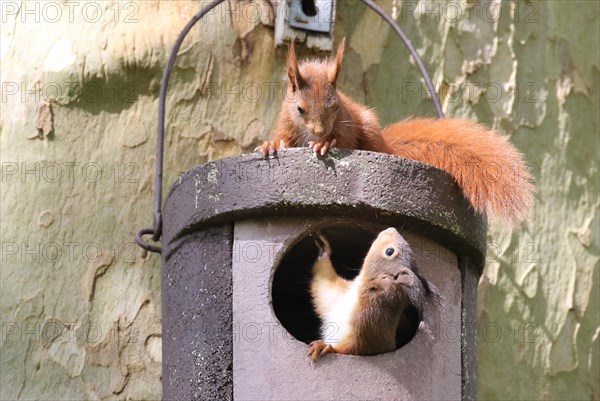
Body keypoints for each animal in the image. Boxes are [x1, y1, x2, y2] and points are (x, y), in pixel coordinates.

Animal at [256, 39, 536, 225]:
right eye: (300, 109)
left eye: (335, 106)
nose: (320, 130)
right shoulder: (287, 123)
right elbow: (283, 138)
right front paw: (270, 145)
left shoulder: (347, 122)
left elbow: (343, 138)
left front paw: (325, 143)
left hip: (369, 128)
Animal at [308, 227, 438, 360]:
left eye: (389, 251)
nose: (391, 229)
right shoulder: (338, 295)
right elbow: (324, 284)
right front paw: (324, 249)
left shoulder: (368, 322)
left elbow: (356, 349)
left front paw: (326, 347)